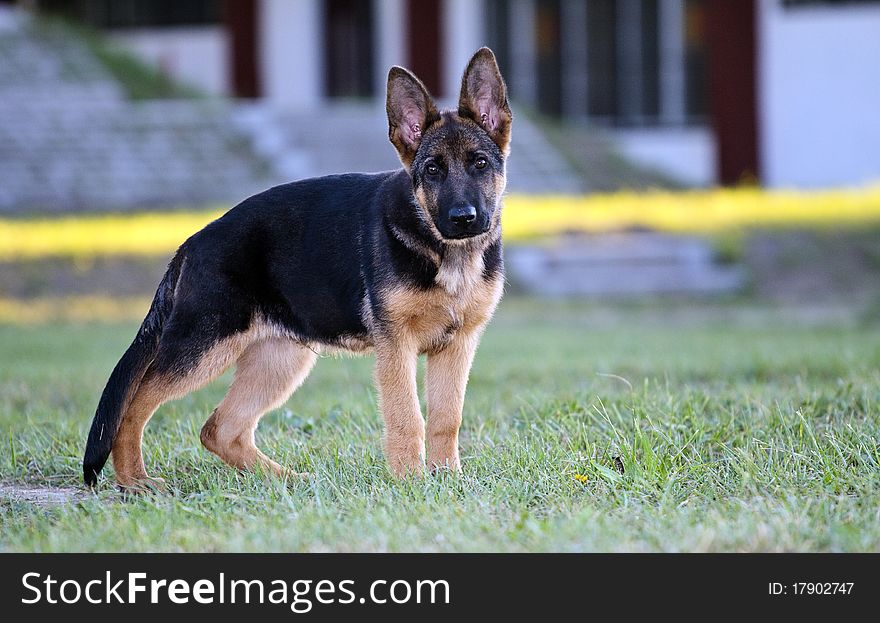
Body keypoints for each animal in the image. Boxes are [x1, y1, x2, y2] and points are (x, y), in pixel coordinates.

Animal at [81, 47, 512, 488]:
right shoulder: (396, 345)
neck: (444, 249)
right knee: (134, 405)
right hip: (204, 344)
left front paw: (447, 480)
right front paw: (411, 482)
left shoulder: (457, 345)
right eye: (432, 170)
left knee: (221, 428)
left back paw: (288, 479)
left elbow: (446, 418)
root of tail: (192, 242)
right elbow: (407, 417)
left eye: (479, 163)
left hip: (279, 358)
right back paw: (136, 481)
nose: (464, 218)